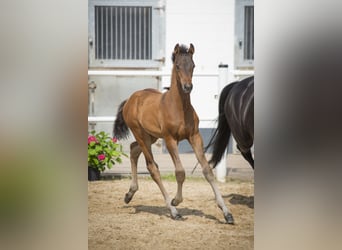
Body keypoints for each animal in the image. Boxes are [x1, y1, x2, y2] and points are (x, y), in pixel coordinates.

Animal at [113, 43, 234, 225]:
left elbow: (207, 170)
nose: (187, 87)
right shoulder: (170, 139)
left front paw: (226, 213)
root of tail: (131, 99)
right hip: (141, 134)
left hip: (151, 136)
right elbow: (180, 172)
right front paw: (176, 201)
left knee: (133, 150)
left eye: (193, 65)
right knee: (152, 167)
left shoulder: (194, 136)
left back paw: (129, 194)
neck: (179, 107)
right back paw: (173, 210)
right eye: (177, 66)